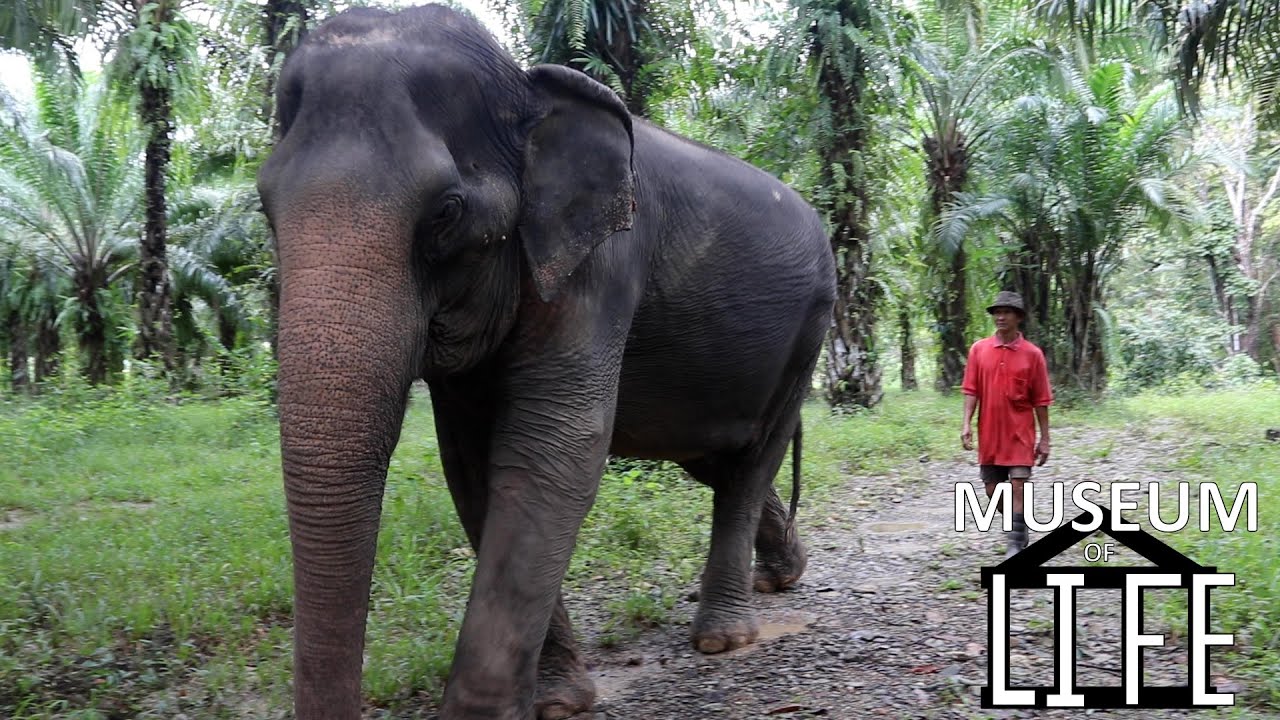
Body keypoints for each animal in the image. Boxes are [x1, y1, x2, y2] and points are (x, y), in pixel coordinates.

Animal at [255, 4, 836, 719]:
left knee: (753, 460)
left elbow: (550, 453)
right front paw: (559, 701)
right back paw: (782, 575)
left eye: (445, 212)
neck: (526, 89)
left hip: (811, 328)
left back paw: (723, 639)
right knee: (715, 458)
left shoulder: (605, 265)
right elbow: (474, 468)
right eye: (264, 207)